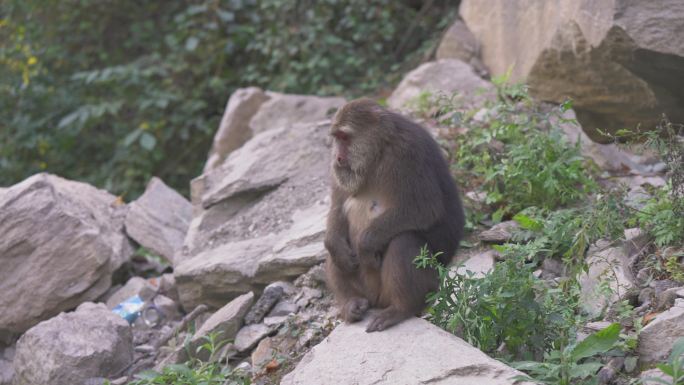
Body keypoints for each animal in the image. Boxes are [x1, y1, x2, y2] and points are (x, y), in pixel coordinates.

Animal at [324, 97, 464, 332]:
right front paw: (336, 245)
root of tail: (376, 300)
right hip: (366, 290)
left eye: (345, 137)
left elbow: (424, 208)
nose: (338, 157)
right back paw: (351, 302)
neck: (378, 153)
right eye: (336, 138)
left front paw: (365, 245)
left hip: (426, 286)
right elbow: (339, 204)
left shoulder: (407, 153)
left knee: (404, 240)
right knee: (335, 252)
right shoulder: (343, 173)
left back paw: (401, 308)